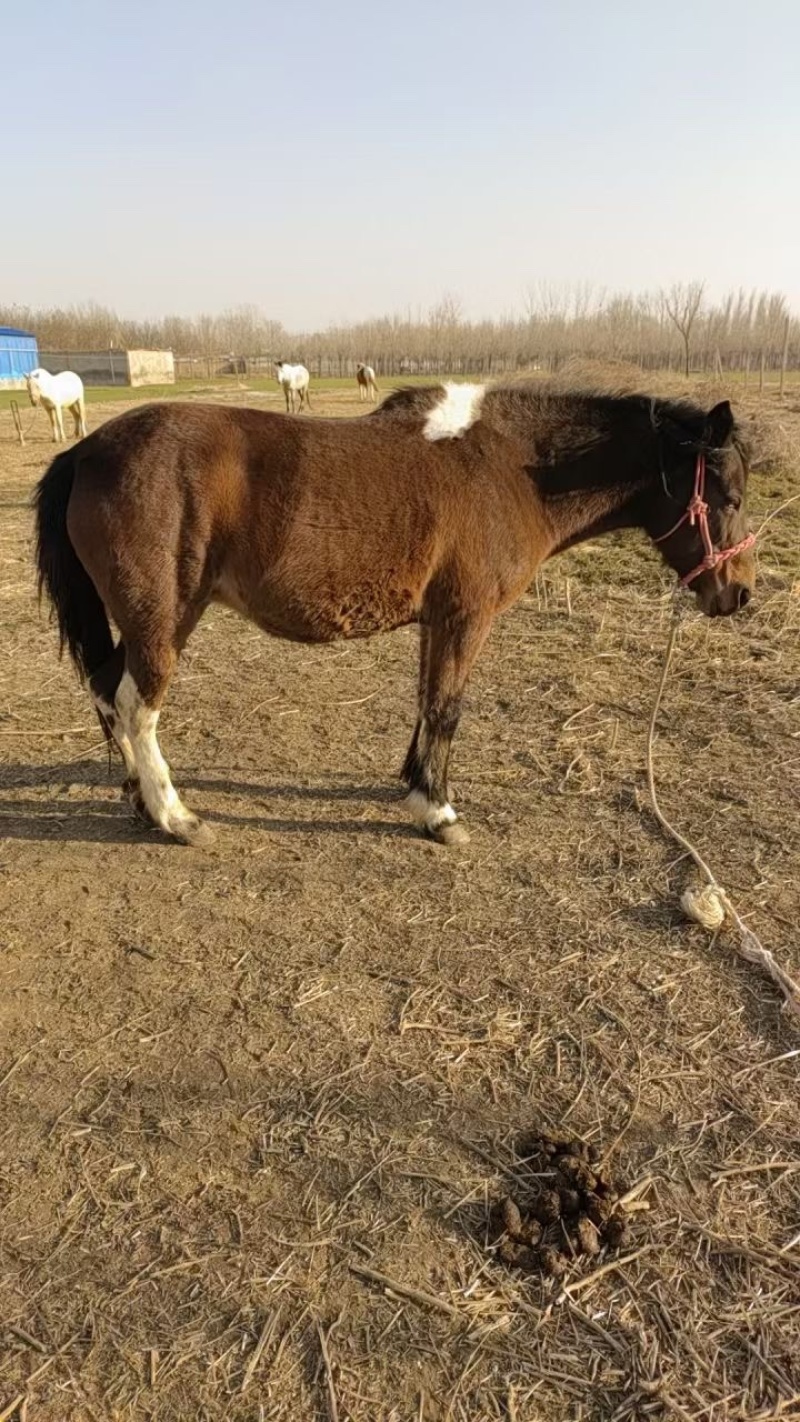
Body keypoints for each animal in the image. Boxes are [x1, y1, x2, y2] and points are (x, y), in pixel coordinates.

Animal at [34, 381, 756, 850]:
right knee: (137, 707)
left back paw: (138, 803)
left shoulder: (437, 622)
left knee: (108, 694)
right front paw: (437, 812)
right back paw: (175, 817)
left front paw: (414, 784)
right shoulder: (466, 618)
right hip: (163, 622)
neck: (509, 468)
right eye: (729, 494)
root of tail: (87, 451)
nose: (739, 595)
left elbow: (427, 702)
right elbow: (447, 708)